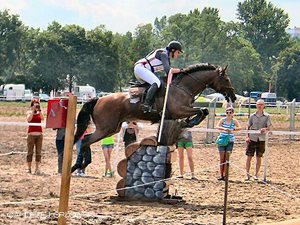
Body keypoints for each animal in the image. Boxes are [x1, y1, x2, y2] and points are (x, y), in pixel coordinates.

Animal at [71, 62, 237, 171]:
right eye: (226, 79)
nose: (233, 97)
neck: (183, 88)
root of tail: (98, 99)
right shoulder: (179, 110)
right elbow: (201, 111)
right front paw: (190, 122)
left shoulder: (181, 111)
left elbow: (204, 110)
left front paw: (187, 123)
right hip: (106, 128)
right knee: (85, 140)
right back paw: (79, 165)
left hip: (112, 128)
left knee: (85, 139)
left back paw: (80, 165)